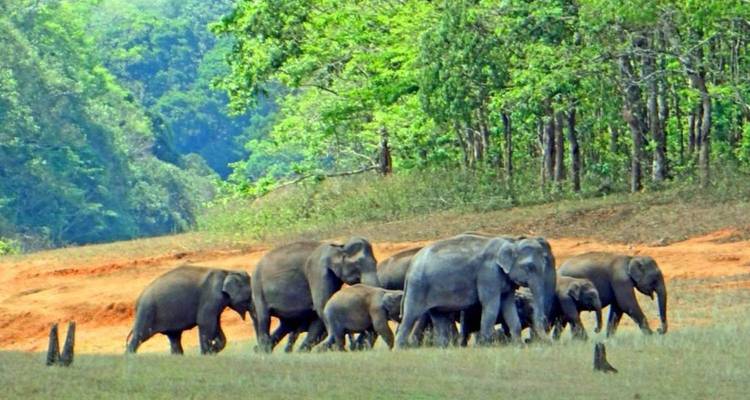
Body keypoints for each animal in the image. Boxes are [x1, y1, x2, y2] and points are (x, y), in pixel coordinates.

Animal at [396, 234, 556, 348]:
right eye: (529, 267)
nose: (529, 341)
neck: (511, 242)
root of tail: (411, 265)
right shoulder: (488, 274)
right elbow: (491, 305)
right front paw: (486, 346)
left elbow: (508, 307)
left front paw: (519, 346)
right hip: (418, 287)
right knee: (410, 316)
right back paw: (400, 349)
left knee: (438, 317)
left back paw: (443, 348)